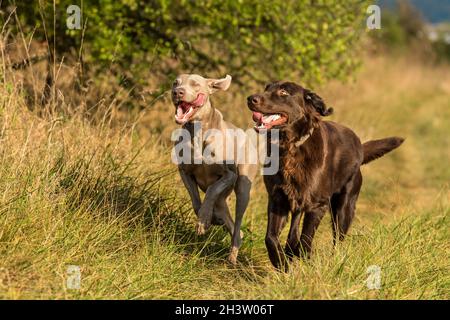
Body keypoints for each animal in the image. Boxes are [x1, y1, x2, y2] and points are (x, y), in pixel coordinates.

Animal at [171, 74, 258, 264]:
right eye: (175, 83)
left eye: (195, 84)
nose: (177, 92)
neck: (199, 132)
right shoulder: (184, 172)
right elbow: (196, 201)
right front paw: (206, 219)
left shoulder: (229, 175)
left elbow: (211, 189)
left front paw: (203, 221)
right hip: (223, 200)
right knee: (233, 225)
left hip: (243, 187)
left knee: (237, 226)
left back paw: (232, 256)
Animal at [246, 80, 404, 270]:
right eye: (267, 88)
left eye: (284, 92)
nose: (250, 98)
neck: (291, 147)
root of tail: (359, 147)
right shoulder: (278, 199)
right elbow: (270, 238)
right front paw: (282, 264)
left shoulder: (317, 205)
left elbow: (305, 242)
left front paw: (305, 263)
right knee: (294, 232)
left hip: (344, 208)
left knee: (338, 240)